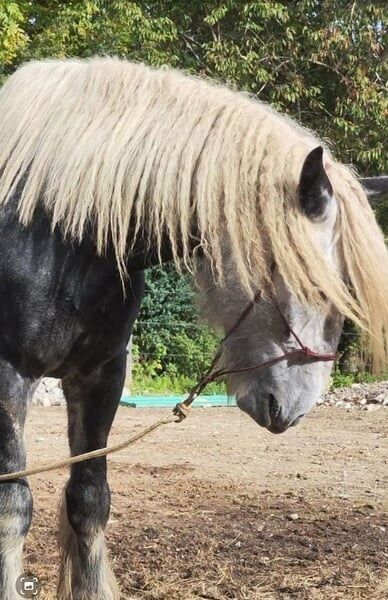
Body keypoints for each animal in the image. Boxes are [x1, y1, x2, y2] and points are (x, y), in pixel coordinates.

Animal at [0, 57, 386, 600]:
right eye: (313, 282)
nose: (292, 410)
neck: (55, 230)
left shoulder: (101, 375)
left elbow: (89, 499)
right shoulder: (9, 373)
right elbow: (13, 505)